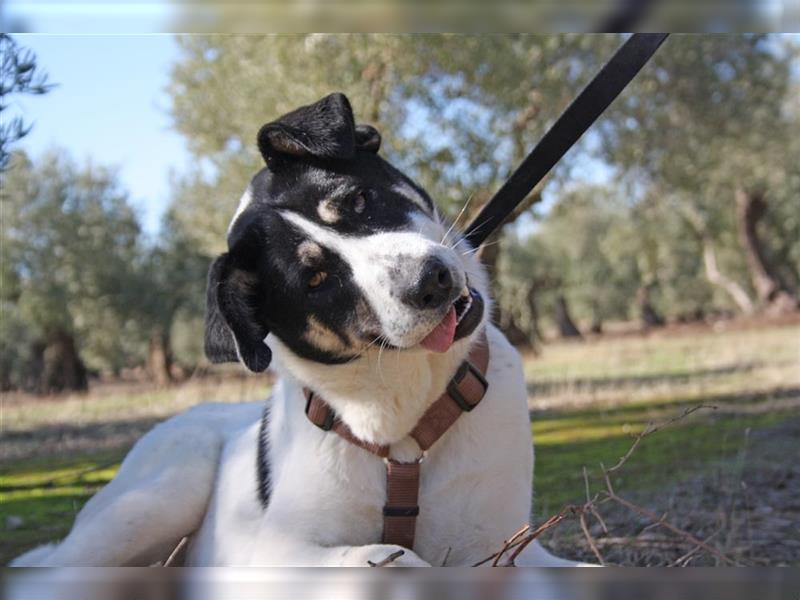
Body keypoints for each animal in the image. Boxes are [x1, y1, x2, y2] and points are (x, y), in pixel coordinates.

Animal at [10, 94, 588, 568]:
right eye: (315, 279)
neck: (402, 433)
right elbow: (394, 556)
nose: (431, 282)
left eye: (358, 200)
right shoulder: (277, 552)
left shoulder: (501, 546)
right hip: (158, 493)